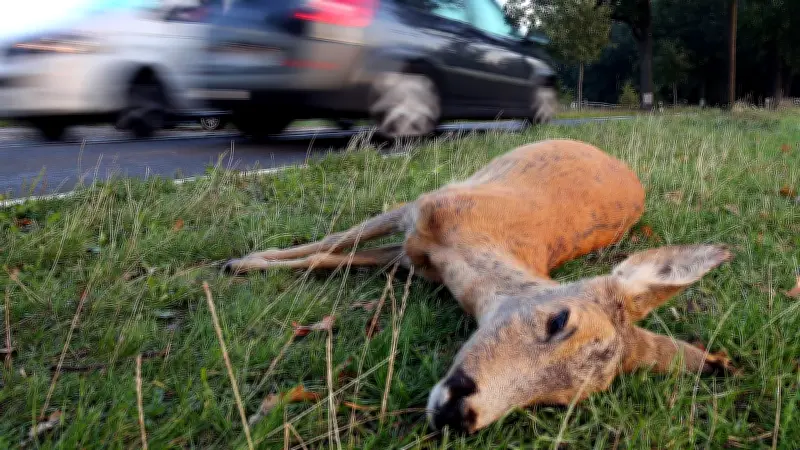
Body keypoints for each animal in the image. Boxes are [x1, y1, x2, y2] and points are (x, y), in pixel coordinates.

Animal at [222, 139, 735, 434]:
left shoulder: (412, 257)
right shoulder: (420, 207)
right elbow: (335, 242)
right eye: (559, 320)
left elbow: (335, 257)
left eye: (559, 401)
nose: (460, 416)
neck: (464, 247)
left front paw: (249, 263)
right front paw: (242, 261)